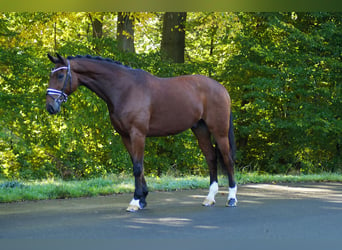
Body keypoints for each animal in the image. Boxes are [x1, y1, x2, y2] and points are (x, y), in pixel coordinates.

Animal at [46, 53, 238, 212]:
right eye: (51, 75)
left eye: (61, 75)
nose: (50, 107)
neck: (124, 88)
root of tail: (221, 88)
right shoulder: (125, 136)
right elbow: (137, 164)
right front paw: (143, 198)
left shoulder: (137, 134)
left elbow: (137, 167)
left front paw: (135, 201)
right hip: (200, 129)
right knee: (211, 158)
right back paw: (209, 198)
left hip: (219, 131)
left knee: (228, 159)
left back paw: (232, 199)